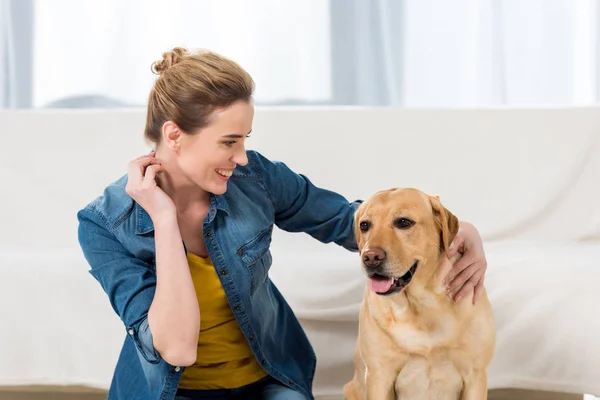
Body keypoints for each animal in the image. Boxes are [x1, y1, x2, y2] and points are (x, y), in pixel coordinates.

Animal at [344, 188, 494, 400]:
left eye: (403, 222)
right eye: (365, 225)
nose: (370, 257)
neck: (423, 305)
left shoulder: (475, 374)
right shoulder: (379, 376)